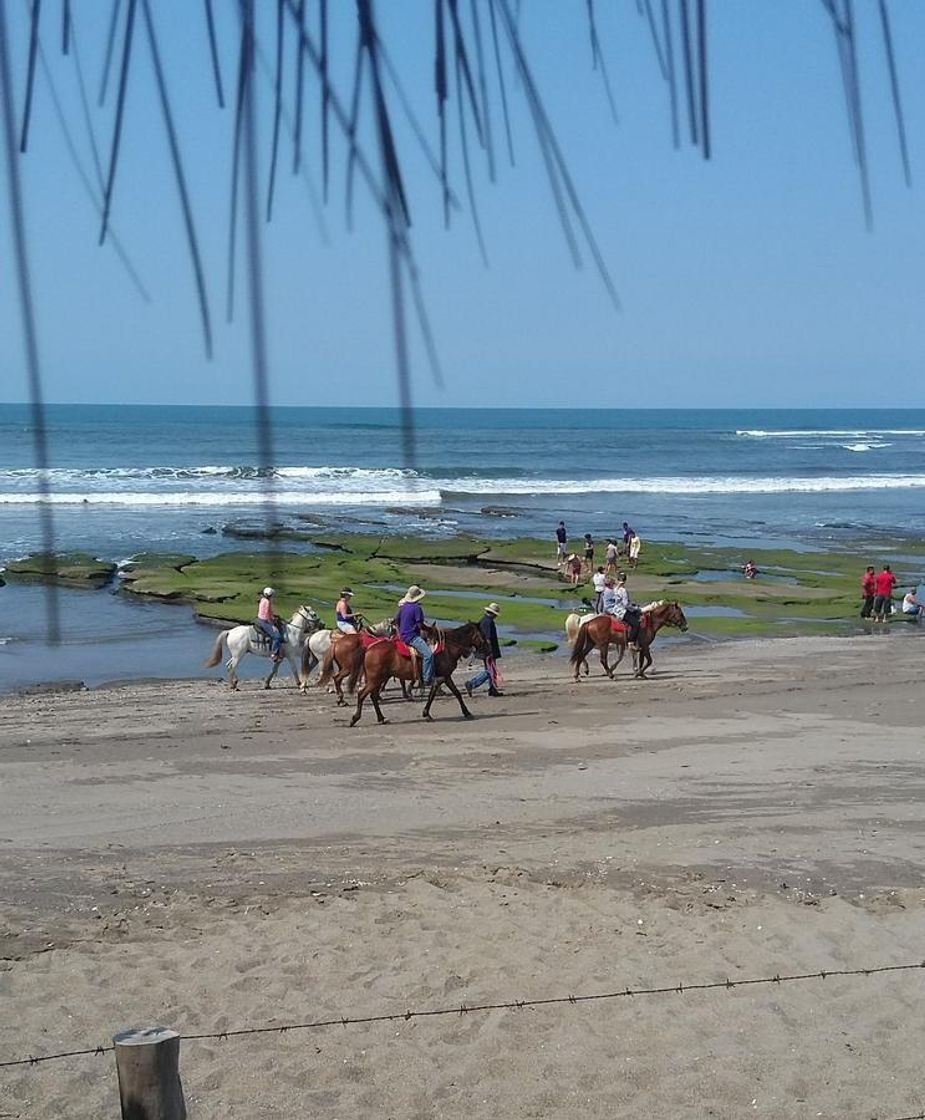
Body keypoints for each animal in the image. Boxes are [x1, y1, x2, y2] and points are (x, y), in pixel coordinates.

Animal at [344, 622, 490, 725]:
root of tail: (369, 648)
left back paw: (381, 718)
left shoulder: (444, 677)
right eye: (482, 635)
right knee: (362, 695)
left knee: (373, 696)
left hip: (378, 679)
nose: (488, 650)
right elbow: (442, 693)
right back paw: (355, 718)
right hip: (375, 679)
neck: (448, 648)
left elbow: (453, 693)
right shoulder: (443, 677)